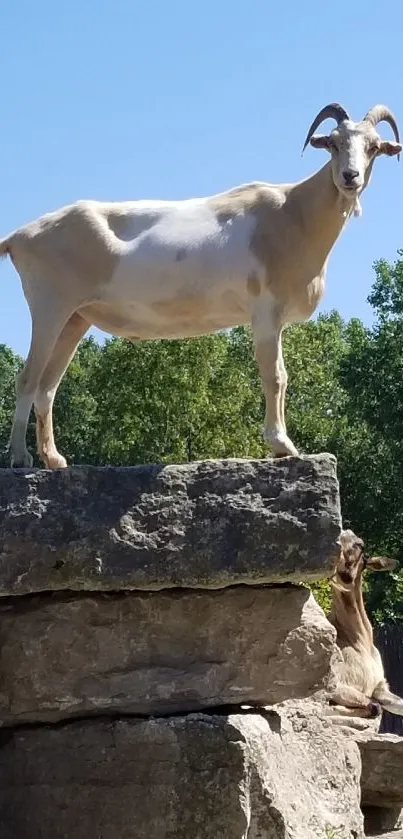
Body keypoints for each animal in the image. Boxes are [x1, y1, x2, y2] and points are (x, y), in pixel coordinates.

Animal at [0, 101, 400, 470]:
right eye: (333, 143)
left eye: (373, 147)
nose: (350, 176)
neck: (294, 214)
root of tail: (18, 237)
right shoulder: (265, 312)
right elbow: (275, 375)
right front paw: (282, 445)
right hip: (49, 306)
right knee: (27, 379)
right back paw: (20, 458)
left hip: (75, 318)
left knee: (47, 387)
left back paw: (54, 459)